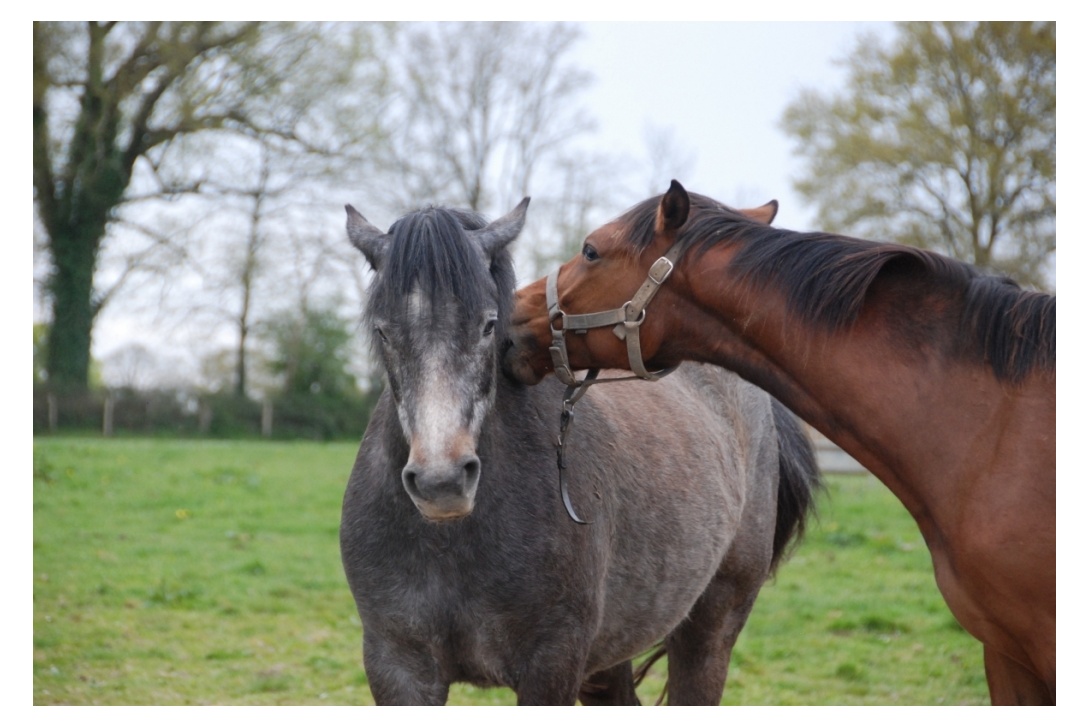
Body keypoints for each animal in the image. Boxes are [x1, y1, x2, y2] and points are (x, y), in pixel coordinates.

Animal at [340, 199, 819, 706]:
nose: (442, 483)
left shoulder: (552, 665)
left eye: (489, 325)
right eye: (383, 332)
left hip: (711, 627)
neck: (451, 542)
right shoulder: (399, 668)